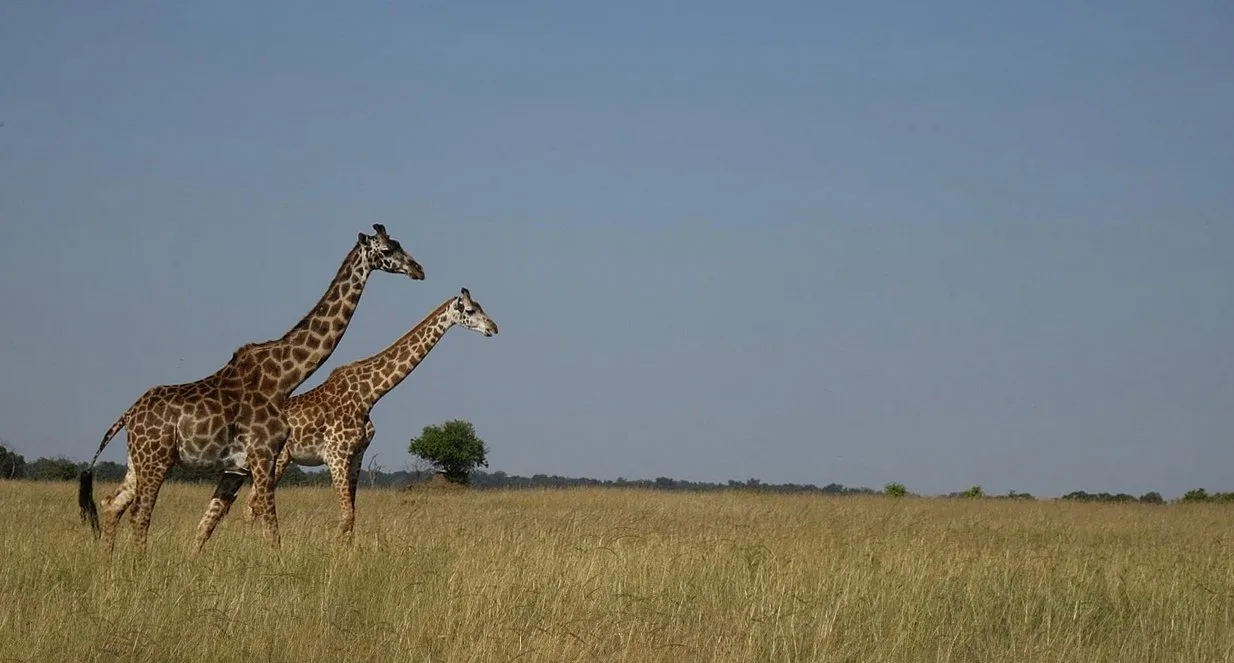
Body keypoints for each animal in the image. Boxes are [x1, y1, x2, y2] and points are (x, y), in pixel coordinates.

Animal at [77, 224, 425, 554]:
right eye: (387, 249)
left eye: (399, 243)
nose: (418, 269)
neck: (283, 378)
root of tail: (129, 414)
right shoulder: (263, 455)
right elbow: (271, 529)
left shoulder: (240, 467)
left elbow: (213, 522)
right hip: (156, 459)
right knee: (140, 515)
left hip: (137, 461)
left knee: (111, 505)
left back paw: (108, 567)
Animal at [240, 287, 498, 542]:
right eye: (470, 310)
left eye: (481, 307)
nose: (493, 328)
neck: (369, 396)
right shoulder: (336, 455)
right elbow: (347, 516)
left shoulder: (357, 454)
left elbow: (352, 516)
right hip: (278, 458)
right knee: (255, 504)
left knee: (251, 505)